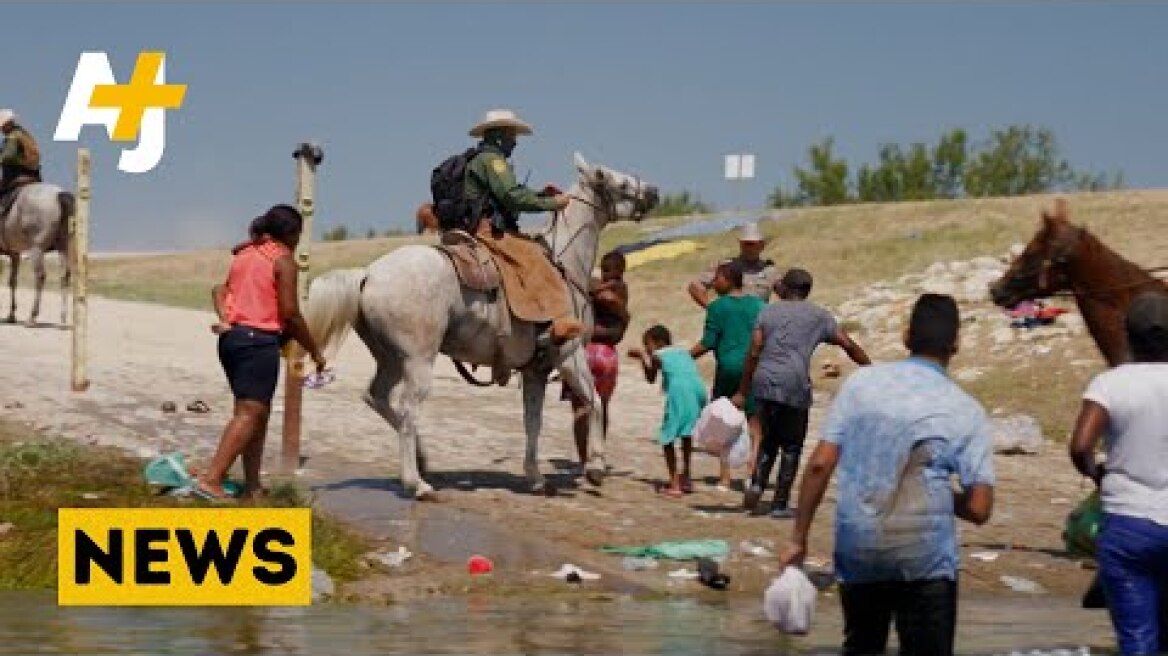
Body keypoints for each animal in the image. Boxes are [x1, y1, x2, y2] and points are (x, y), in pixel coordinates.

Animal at [0, 182, 76, 326]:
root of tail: (59, 194)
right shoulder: (14, 254)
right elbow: (12, 281)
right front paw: (11, 315)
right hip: (63, 246)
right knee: (65, 276)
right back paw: (63, 318)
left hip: (37, 248)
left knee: (40, 276)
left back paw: (32, 317)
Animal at [303, 153, 658, 498]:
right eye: (618, 182)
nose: (653, 191)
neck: (563, 264)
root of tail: (368, 274)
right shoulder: (569, 355)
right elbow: (594, 402)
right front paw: (596, 467)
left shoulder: (535, 370)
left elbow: (533, 422)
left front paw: (536, 478)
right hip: (418, 360)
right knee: (407, 410)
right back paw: (416, 483)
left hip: (390, 358)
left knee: (377, 398)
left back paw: (423, 459)